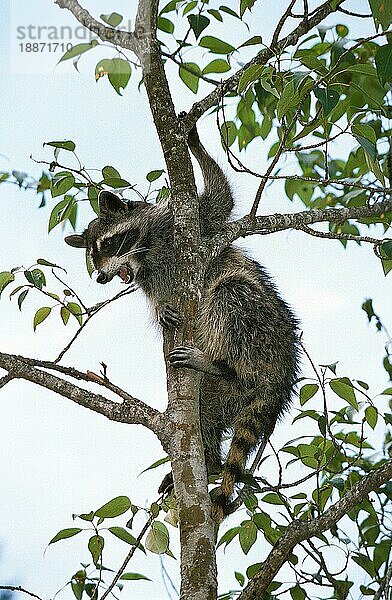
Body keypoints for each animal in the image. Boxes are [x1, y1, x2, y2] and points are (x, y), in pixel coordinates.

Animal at [66, 126, 300, 520]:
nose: (100, 278)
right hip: (222, 394)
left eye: (109, 243)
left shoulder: (188, 223)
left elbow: (220, 199)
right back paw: (209, 457)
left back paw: (221, 363)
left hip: (264, 334)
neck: (145, 253)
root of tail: (281, 377)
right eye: (92, 256)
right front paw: (162, 308)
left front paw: (195, 144)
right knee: (206, 414)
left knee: (231, 294)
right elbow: (158, 299)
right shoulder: (147, 279)